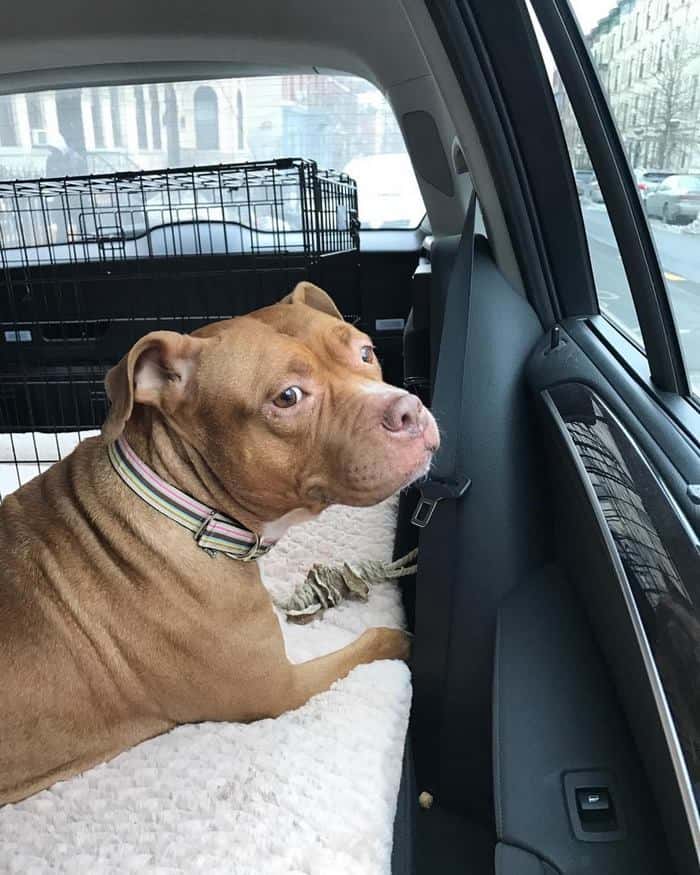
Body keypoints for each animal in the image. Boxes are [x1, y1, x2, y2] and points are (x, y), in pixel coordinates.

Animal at [0, 284, 438, 804]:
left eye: (366, 352)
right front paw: (404, 640)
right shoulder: (282, 688)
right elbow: (370, 642)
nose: (409, 409)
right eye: (287, 397)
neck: (184, 504)